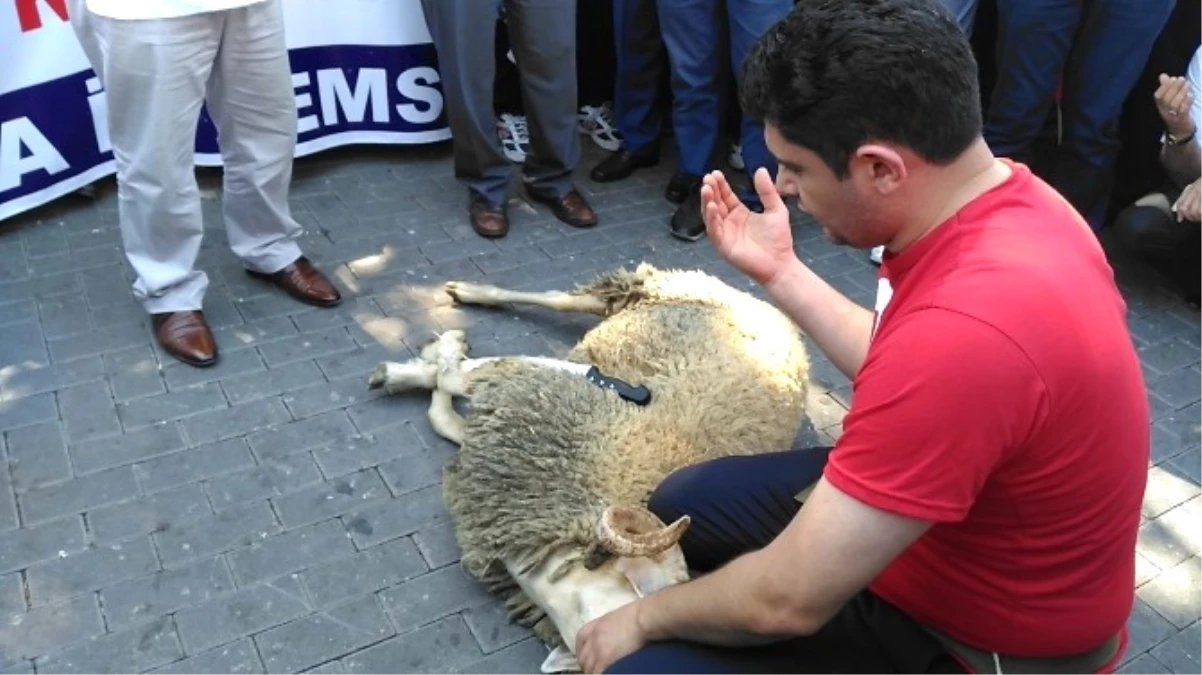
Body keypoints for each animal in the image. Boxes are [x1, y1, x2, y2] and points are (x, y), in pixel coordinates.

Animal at [365, 261, 812, 667]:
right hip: (653, 290)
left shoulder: (509, 447)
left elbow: (445, 410)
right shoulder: (551, 385)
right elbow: (456, 376)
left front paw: (420, 372)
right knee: (564, 299)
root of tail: (775, 312)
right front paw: (424, 360)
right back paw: (465, 300)